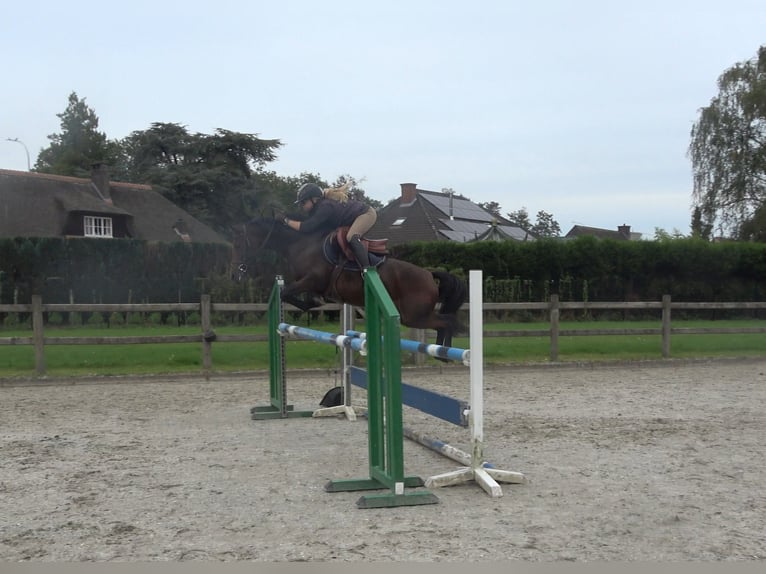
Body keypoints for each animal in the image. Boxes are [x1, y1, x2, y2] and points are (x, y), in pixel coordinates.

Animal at [232, 217, 467, 348]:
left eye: (240, 243)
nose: (237, 273)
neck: (300, 245)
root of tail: (428, 274)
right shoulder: (309, 283)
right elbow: (294, 295)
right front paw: (314, 303)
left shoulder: (312, 280)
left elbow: (287, 293)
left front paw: (313, 303)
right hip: (415, 315)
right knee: (446, 321)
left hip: (414, 316)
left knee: (447, 321)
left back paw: (445, 352)